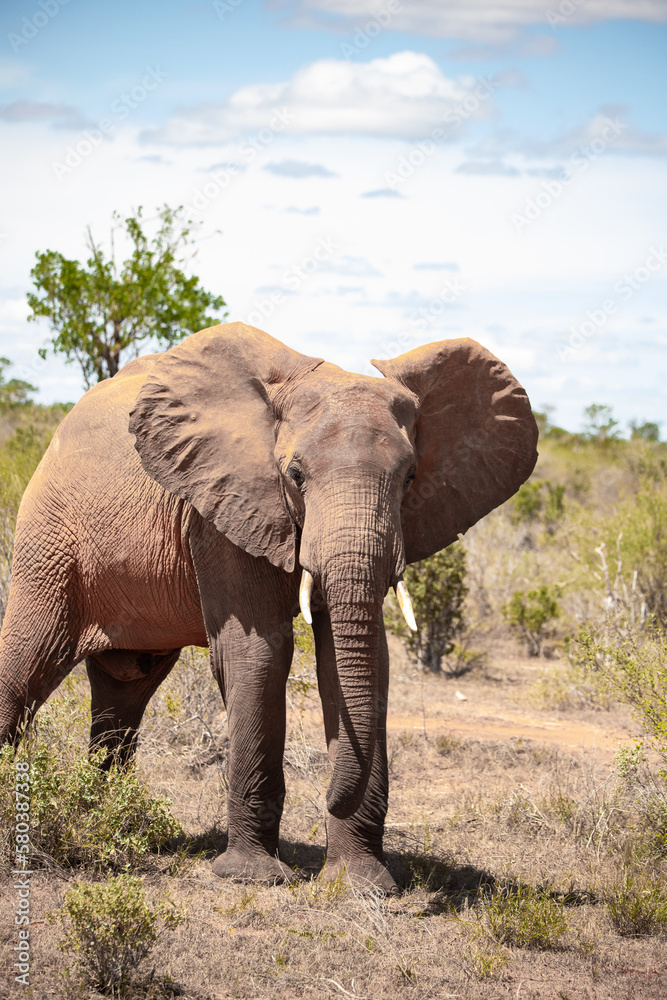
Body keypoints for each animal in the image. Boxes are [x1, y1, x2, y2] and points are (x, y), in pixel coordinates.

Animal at [0, 320, 536, 892]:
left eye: (411, 477)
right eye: (296, 476)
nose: (327, 796)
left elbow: (353, 662)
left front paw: (361, 885)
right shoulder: (219, 506)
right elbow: (258, 653)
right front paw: (252, 878)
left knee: (124, 689)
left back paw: (108, 821)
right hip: (49, 537)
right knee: (26, 662)